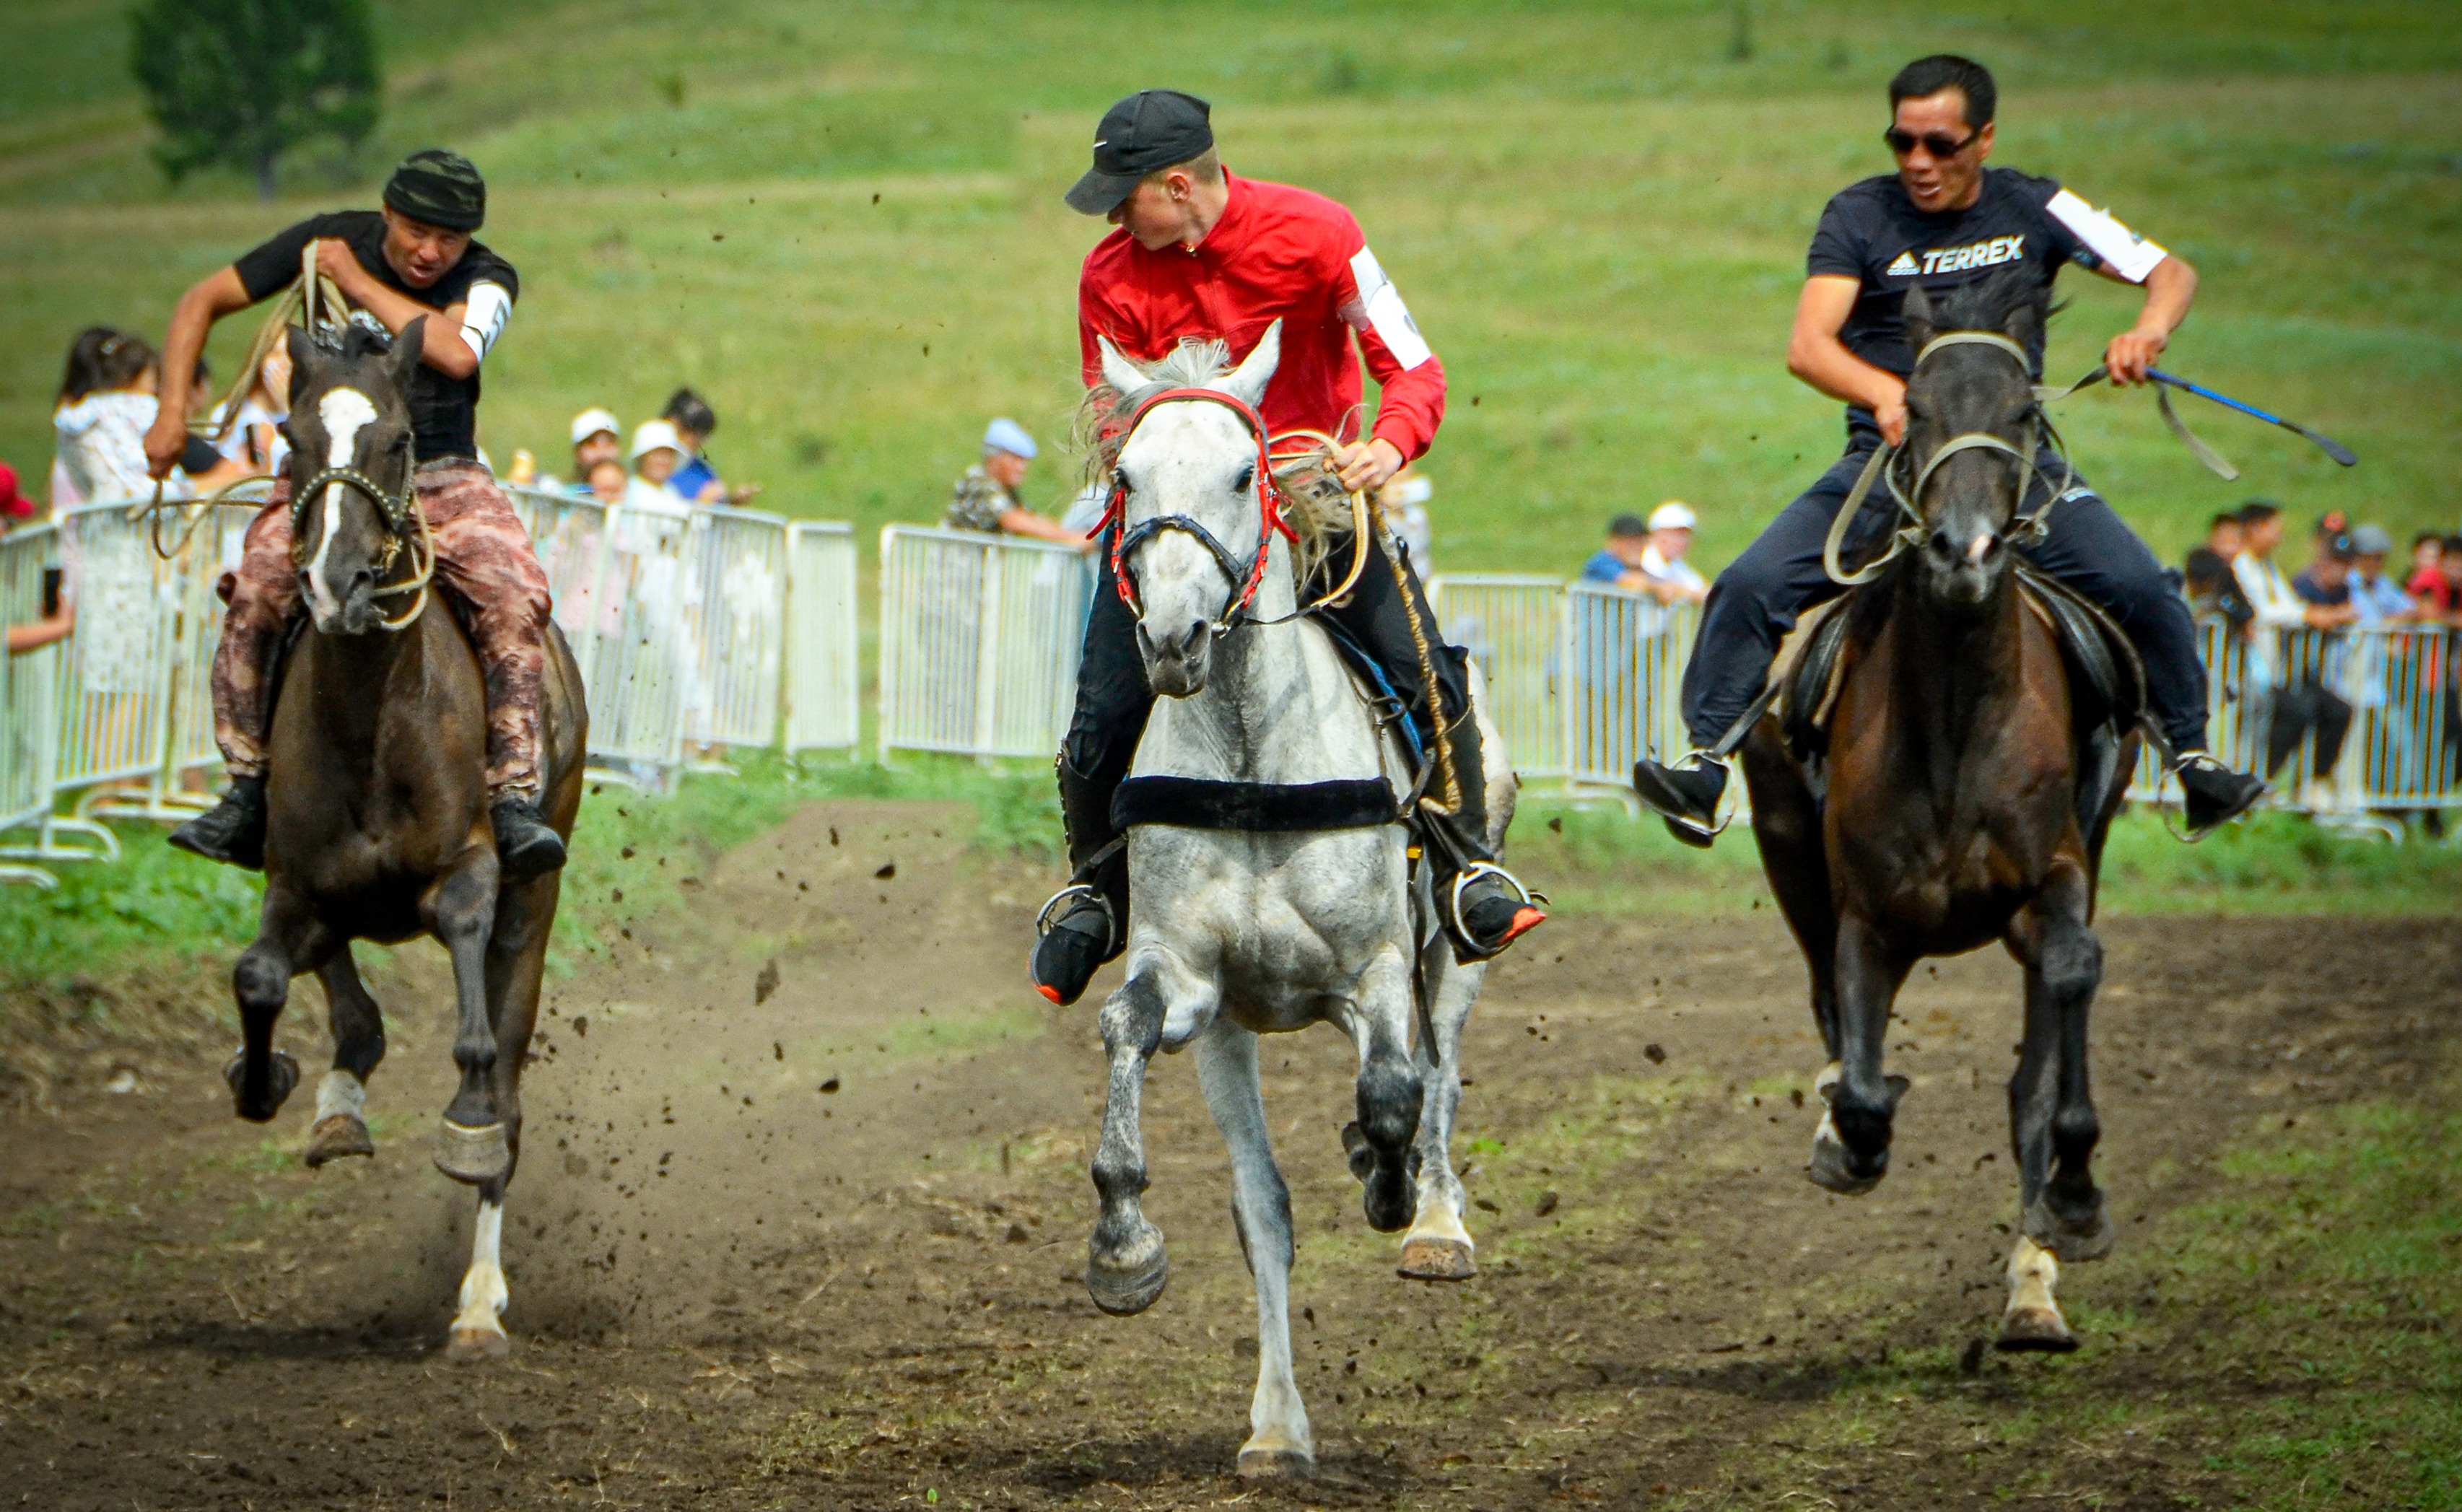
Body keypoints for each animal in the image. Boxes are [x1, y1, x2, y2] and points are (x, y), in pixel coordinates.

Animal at [222, 320, 585, 1359]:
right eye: (291, 439)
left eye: (396, 441)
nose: (335, 582)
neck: (370, 716)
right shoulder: (298, 880)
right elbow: (265, 976)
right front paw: (272, 1079)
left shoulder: (468, 870)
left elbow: (475, 1029)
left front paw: (464, 1122)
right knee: (345, 1000)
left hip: (537, 896)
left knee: (510, 1080)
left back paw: (478, 1300)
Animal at [1083, 330, 1506, 1477]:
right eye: (1126, 479)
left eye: (1244, 473)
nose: (1173, 636)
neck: (1249, 754)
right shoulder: (1196, 989)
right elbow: (1140, 1046)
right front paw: (1124, 1247)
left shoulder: (1376, 974)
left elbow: (1399, 1090)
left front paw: (1391, 1186)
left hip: (1456, 950)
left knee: (1440, 1076)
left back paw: (1434, 1223)